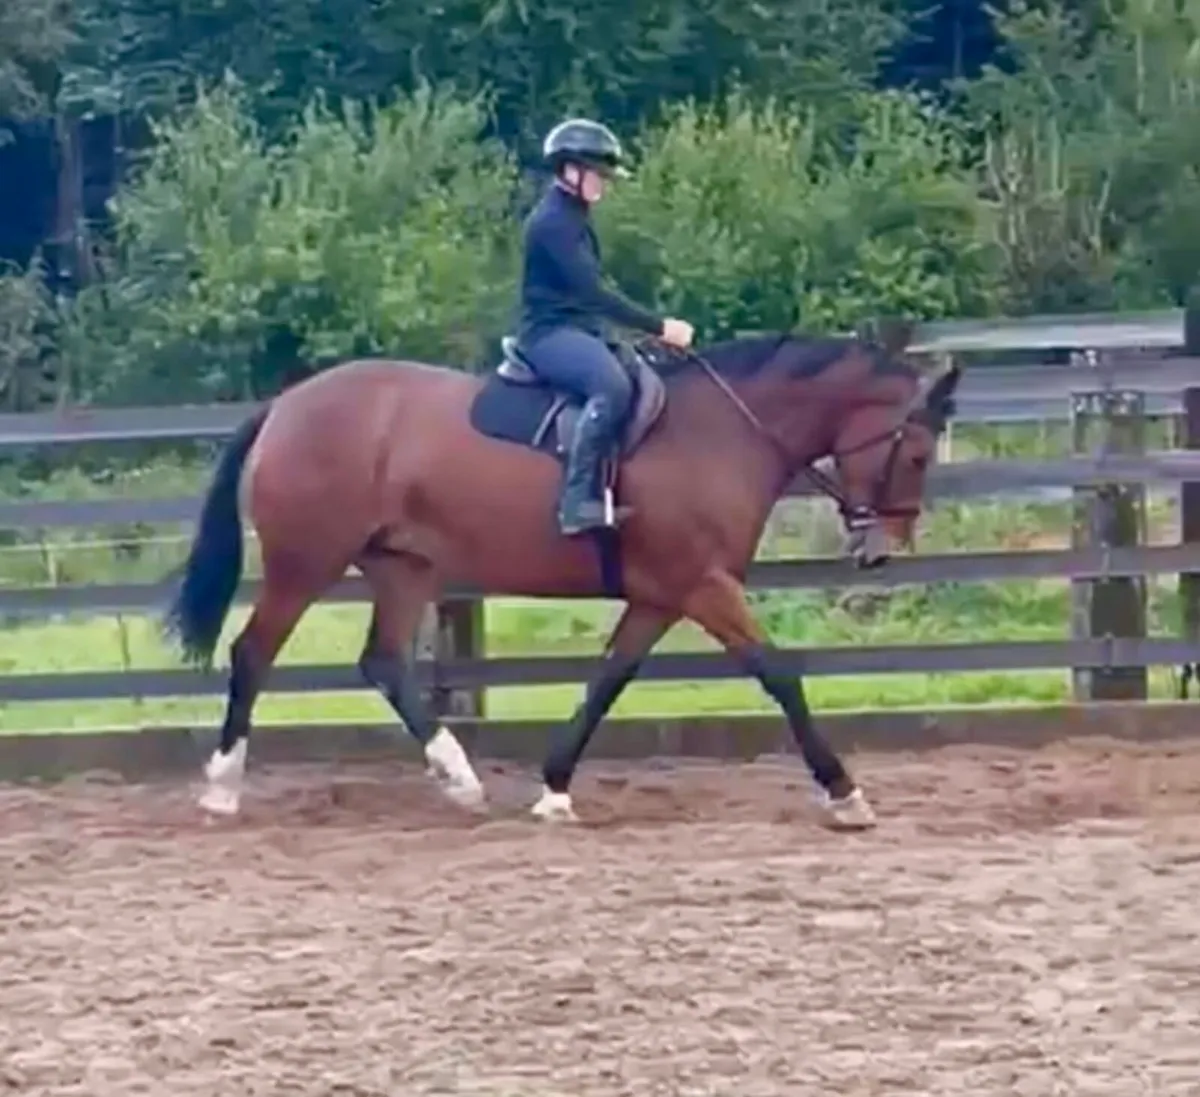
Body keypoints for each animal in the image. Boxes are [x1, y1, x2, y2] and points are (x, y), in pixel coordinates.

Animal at [164, 325, 960, 829]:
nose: (882, 548)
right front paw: (844, 791)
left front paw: (553, 789)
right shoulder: (702, 585)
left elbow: (607, 680)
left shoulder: (659, 595)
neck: (722, 431)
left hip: (403, 566)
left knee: (384, 662)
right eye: (919, 452)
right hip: (306, 562)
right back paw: (222, 789)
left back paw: (459, 778)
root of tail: (285, 404)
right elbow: (778, 672)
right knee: (253, 653)